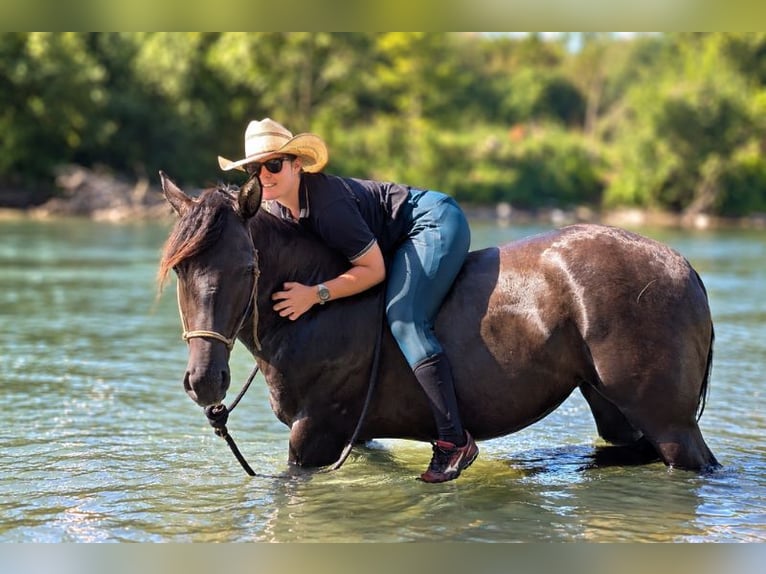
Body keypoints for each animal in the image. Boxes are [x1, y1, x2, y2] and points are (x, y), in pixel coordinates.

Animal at [158, 171, 719, 473]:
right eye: (180, 268)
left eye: (246, 268)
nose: (205, 380)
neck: (316, 310)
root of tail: (684, 266)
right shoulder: (353, 439)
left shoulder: (313, 435)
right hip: (612, 409)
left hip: (670, 423)